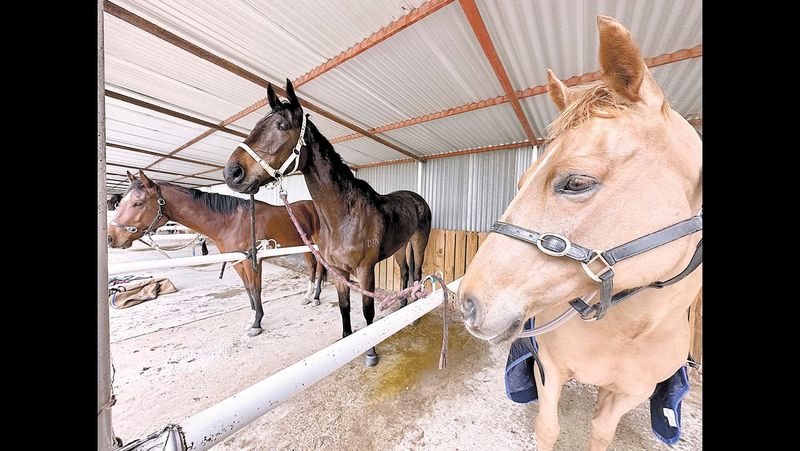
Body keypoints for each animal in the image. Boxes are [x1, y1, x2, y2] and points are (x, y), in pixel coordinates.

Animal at [107, 170, 328, 337]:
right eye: (121, 203)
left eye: (138, 203)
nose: (110, 237)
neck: (231, 221)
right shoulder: (237, 261)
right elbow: (248, 289)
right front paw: (252, 319)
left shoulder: (252, 261)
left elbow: (256, 289)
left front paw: (257, 324)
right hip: (306, 246)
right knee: (312, 267)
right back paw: (308, 296)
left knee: (319, 269)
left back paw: (316, 297)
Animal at [222, 81, 432, 366]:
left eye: (282, 126)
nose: (232, 173)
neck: (343, 218)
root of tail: (416, 198)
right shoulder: (338, 270)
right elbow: (345, 308)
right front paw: (346, 341)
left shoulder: (365, 270)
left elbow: (367, 311)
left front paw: (370, 353)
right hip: (400, 246)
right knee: (405, 273)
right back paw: (401, 308)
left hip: (419, 242)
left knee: (418, 273)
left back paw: (415, 316)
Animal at [458, 16, 702, 451]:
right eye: (522, 180)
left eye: (576, 183)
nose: (467, 303)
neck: (631, 332)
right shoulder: (550, 368)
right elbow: (548, 427)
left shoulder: (629, 393)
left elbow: (602, 432)